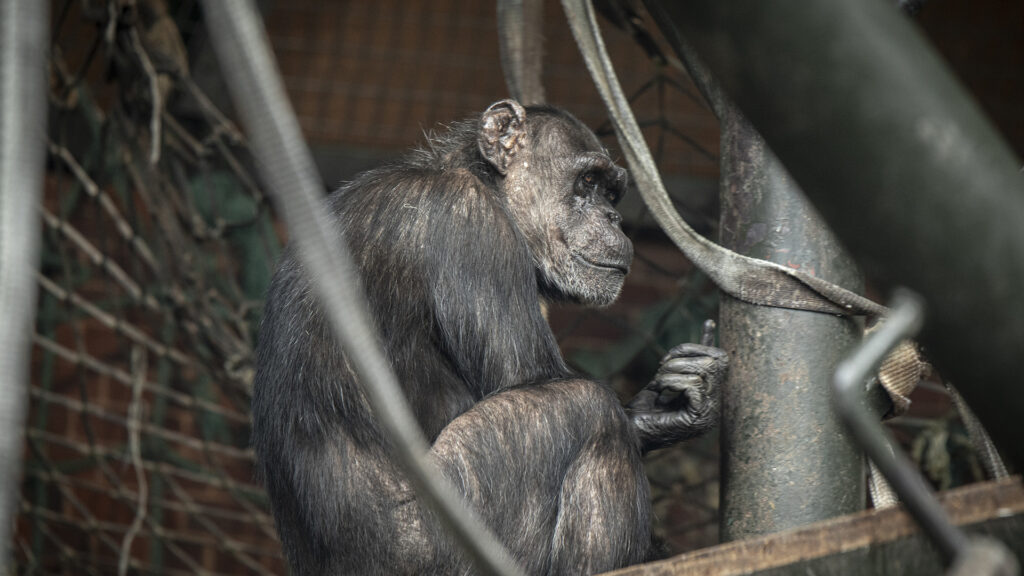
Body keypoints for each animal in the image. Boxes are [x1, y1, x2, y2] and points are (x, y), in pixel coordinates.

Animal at [252, 99, 728, 575]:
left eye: (612, 194)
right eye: (589, 181)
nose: (612, 217)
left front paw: (670, 405)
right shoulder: (470, 224)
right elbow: (528, 379)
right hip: (450, 539)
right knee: (587, 409)